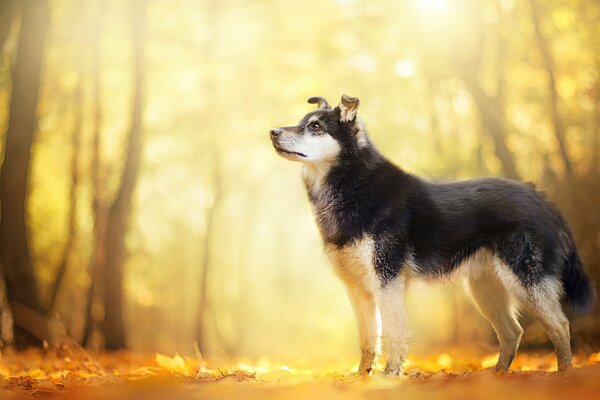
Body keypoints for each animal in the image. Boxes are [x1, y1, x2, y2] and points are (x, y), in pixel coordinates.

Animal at [270, 94, 596, 376]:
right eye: (302, 121)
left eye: (315, 126)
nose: (272, 132)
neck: (353, 187)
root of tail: (540, 197)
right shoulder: (357, 288)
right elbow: (367, 340)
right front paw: (361, 378)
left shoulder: (387, 281)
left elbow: (393, 334)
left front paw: (388, 378)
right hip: (484, 289)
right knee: (512, 332)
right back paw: (497, 376)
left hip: (525, 280)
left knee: (559, 325)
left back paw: (564, 375)